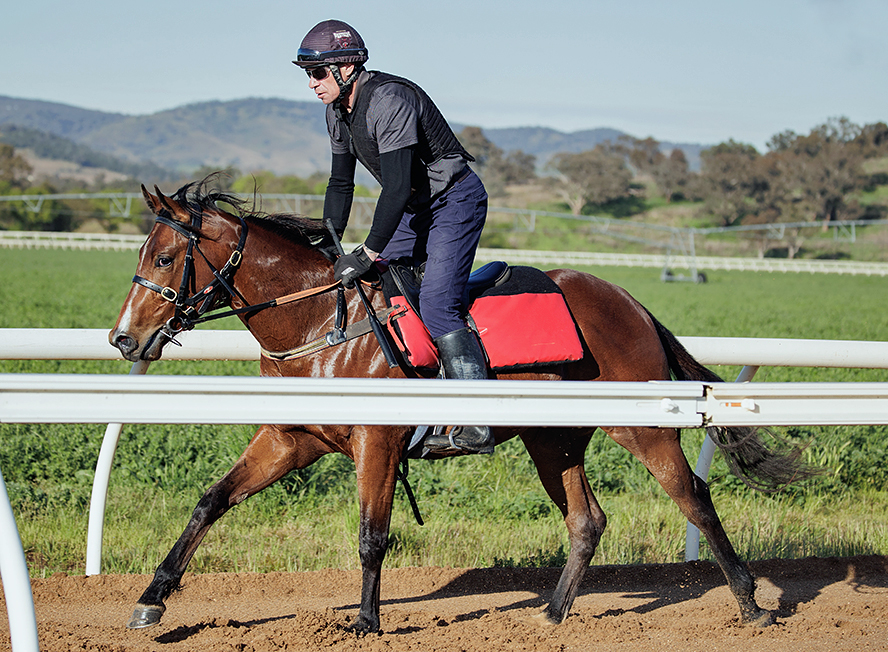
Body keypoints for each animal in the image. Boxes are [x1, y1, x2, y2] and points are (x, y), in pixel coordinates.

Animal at [109, 177, 804, 632]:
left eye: (165, 257)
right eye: (141, 256)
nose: (124, 339)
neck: (321, 322)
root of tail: (631, 302)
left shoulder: (378, 440)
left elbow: (372, 534)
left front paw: (365, 623)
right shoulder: (290, 437)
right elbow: (210, 501)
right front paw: (153, 598)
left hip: (642, 427)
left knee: (694, 497)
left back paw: (751, 604)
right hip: (552, 438)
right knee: (587, 520)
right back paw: (550, 615)